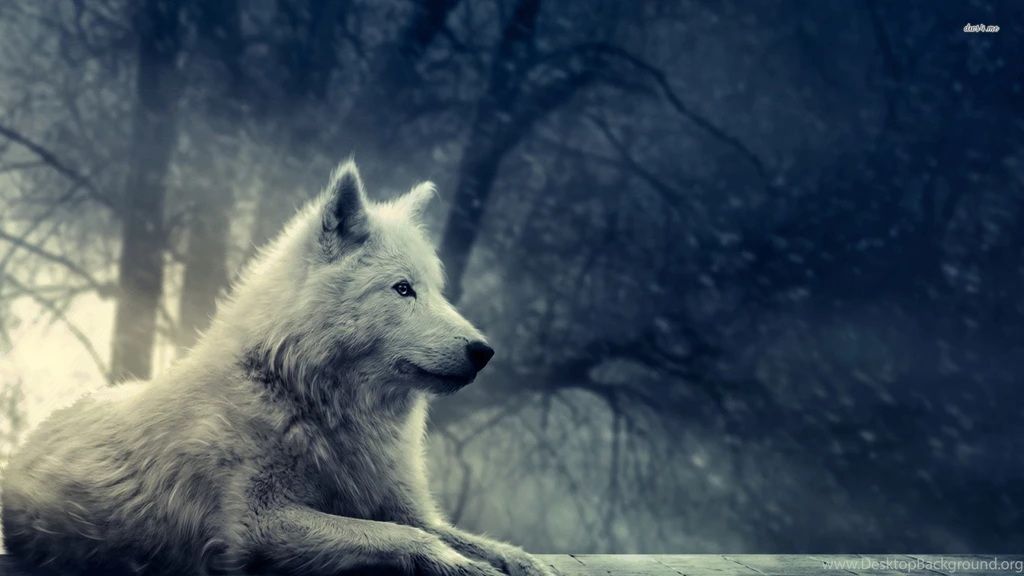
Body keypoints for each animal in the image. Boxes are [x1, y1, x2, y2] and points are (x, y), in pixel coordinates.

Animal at [0, 161, 554, 576]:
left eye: (437, 290)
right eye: (402, 289)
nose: (484, 351)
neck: (300, 395)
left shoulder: (404, 505)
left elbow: (477, 541)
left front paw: (520, 561)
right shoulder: (258, 524)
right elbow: (406, 538)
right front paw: (464, 566)